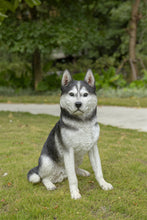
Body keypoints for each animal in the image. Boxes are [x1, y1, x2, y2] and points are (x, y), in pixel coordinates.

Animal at [27, 69, 112, 199]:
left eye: (85, 94)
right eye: (71, 94)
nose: (78, 104)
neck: (82, 123)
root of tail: (60, 173)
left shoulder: (93, 148)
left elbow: (98, 170)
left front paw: (103, 184)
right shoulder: (68, 150)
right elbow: (73, 178)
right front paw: (75, 192)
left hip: (79, 157)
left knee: (74, 169)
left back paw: (82, 171)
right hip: (46, 161)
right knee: (43, 177)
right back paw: (49, 184)